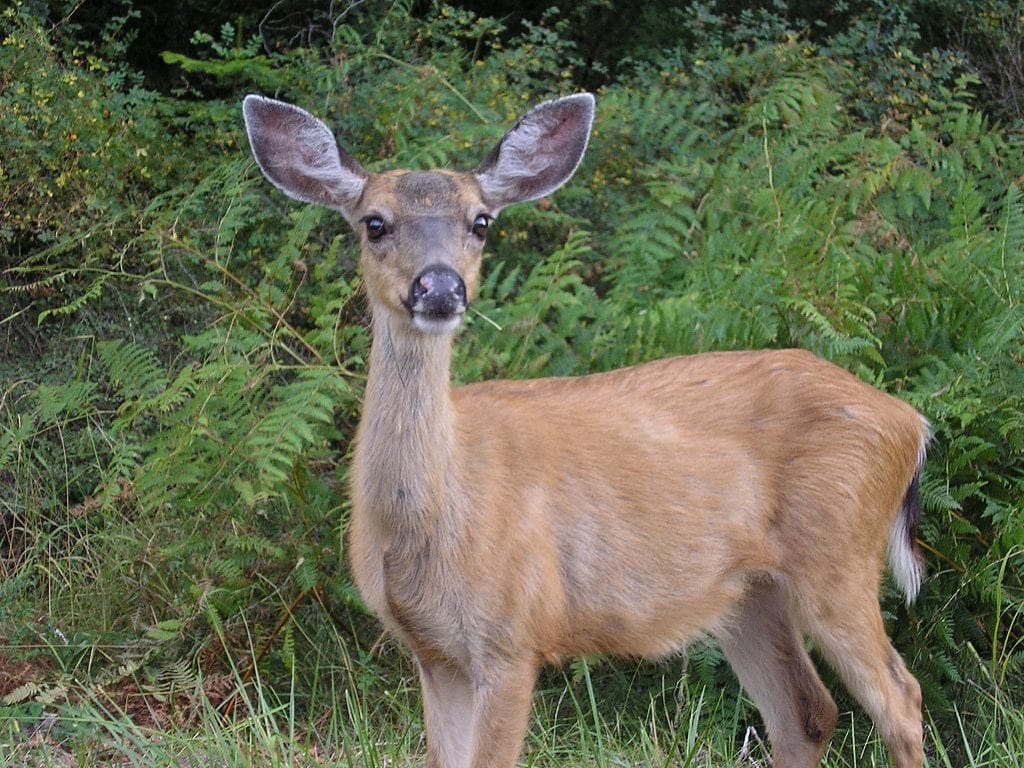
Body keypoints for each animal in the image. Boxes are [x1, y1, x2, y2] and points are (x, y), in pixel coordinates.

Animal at [243, 91, 933, 768]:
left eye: (481, 222)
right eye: (374, 223)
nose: (440, 287)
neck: (436, 515)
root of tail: (911, 421)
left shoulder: (512, 635)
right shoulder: (433, 652)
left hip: (839, 553)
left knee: (900, 697)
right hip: (750, 591)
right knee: (806, 713)